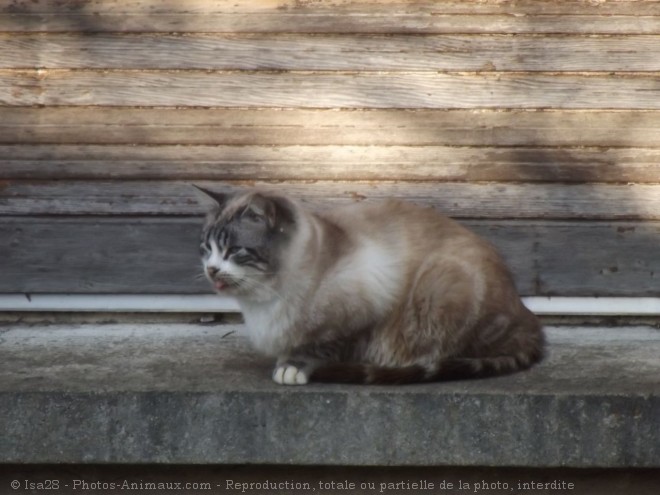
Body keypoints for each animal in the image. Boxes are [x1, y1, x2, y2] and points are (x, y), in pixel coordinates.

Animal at [195, 184, 540, 386]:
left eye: (233, 250)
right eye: (207, 248)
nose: (211, 270)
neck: (264, 300)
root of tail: (526, 315)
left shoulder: (362, 309)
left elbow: (321, 346)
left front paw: (292, 367)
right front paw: (284, 359)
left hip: (440, 285)